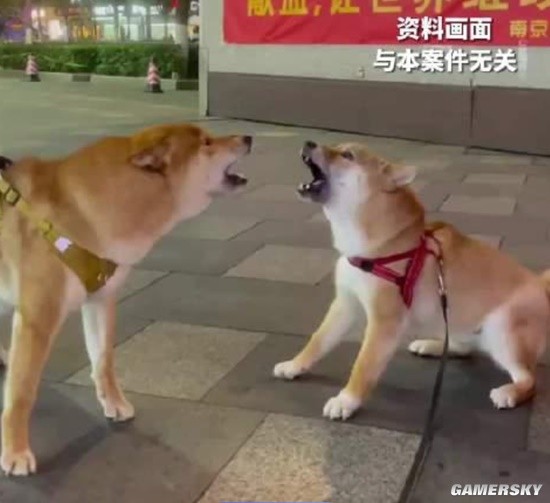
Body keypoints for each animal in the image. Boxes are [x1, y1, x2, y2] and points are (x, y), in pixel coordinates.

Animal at [0, 124, 252, 476]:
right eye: (206, 143)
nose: (248, 138)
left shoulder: (101, 299)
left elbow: (103, 360)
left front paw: (114, 403)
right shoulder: (38, 316)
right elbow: (22, 391)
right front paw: (15, 451)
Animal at [274, 140, 550, 421]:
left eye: (347, 155)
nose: (309, 143)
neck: (377, 248)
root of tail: (541, 284)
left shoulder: (385, 322)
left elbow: (364, 365)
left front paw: (346, 400)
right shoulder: (345, 304)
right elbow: (318, 341)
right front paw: (295, 365)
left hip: (503, 329)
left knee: (529, 380)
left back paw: (509, 392)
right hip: (451, 316)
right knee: (463, 348)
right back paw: (431, 345)